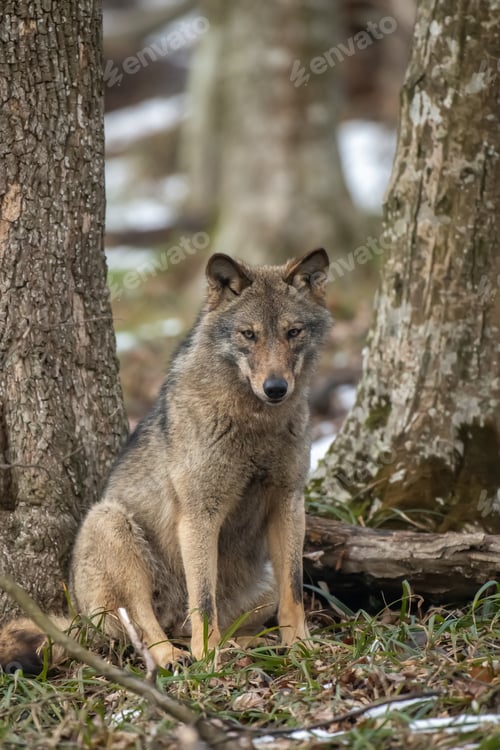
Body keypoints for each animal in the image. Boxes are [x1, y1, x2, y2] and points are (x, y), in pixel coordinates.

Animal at [0, 248, 331, 673]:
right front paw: (209, 659)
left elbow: (294, 593)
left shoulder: (289, 502)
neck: (255, 423)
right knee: (143, 625)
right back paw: (177, 657)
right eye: (249, 334)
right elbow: (202, 601)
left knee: (199, 622)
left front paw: (301, 647)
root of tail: (78, 619)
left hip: (262, 589)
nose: (276, 388)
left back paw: (243, 645)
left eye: (293, 332)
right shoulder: (200, 514)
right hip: (112, 525)